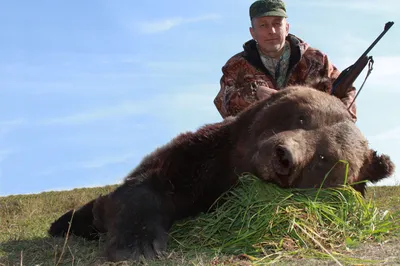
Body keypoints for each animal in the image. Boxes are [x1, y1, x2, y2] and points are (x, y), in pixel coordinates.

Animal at [48, 85, 396, 262]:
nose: (283, 156)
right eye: (301, 117)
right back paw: (64, 223)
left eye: (324, 157)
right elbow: (146, 186)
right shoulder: (201, 157)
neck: (232, 171)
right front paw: (136, 245)